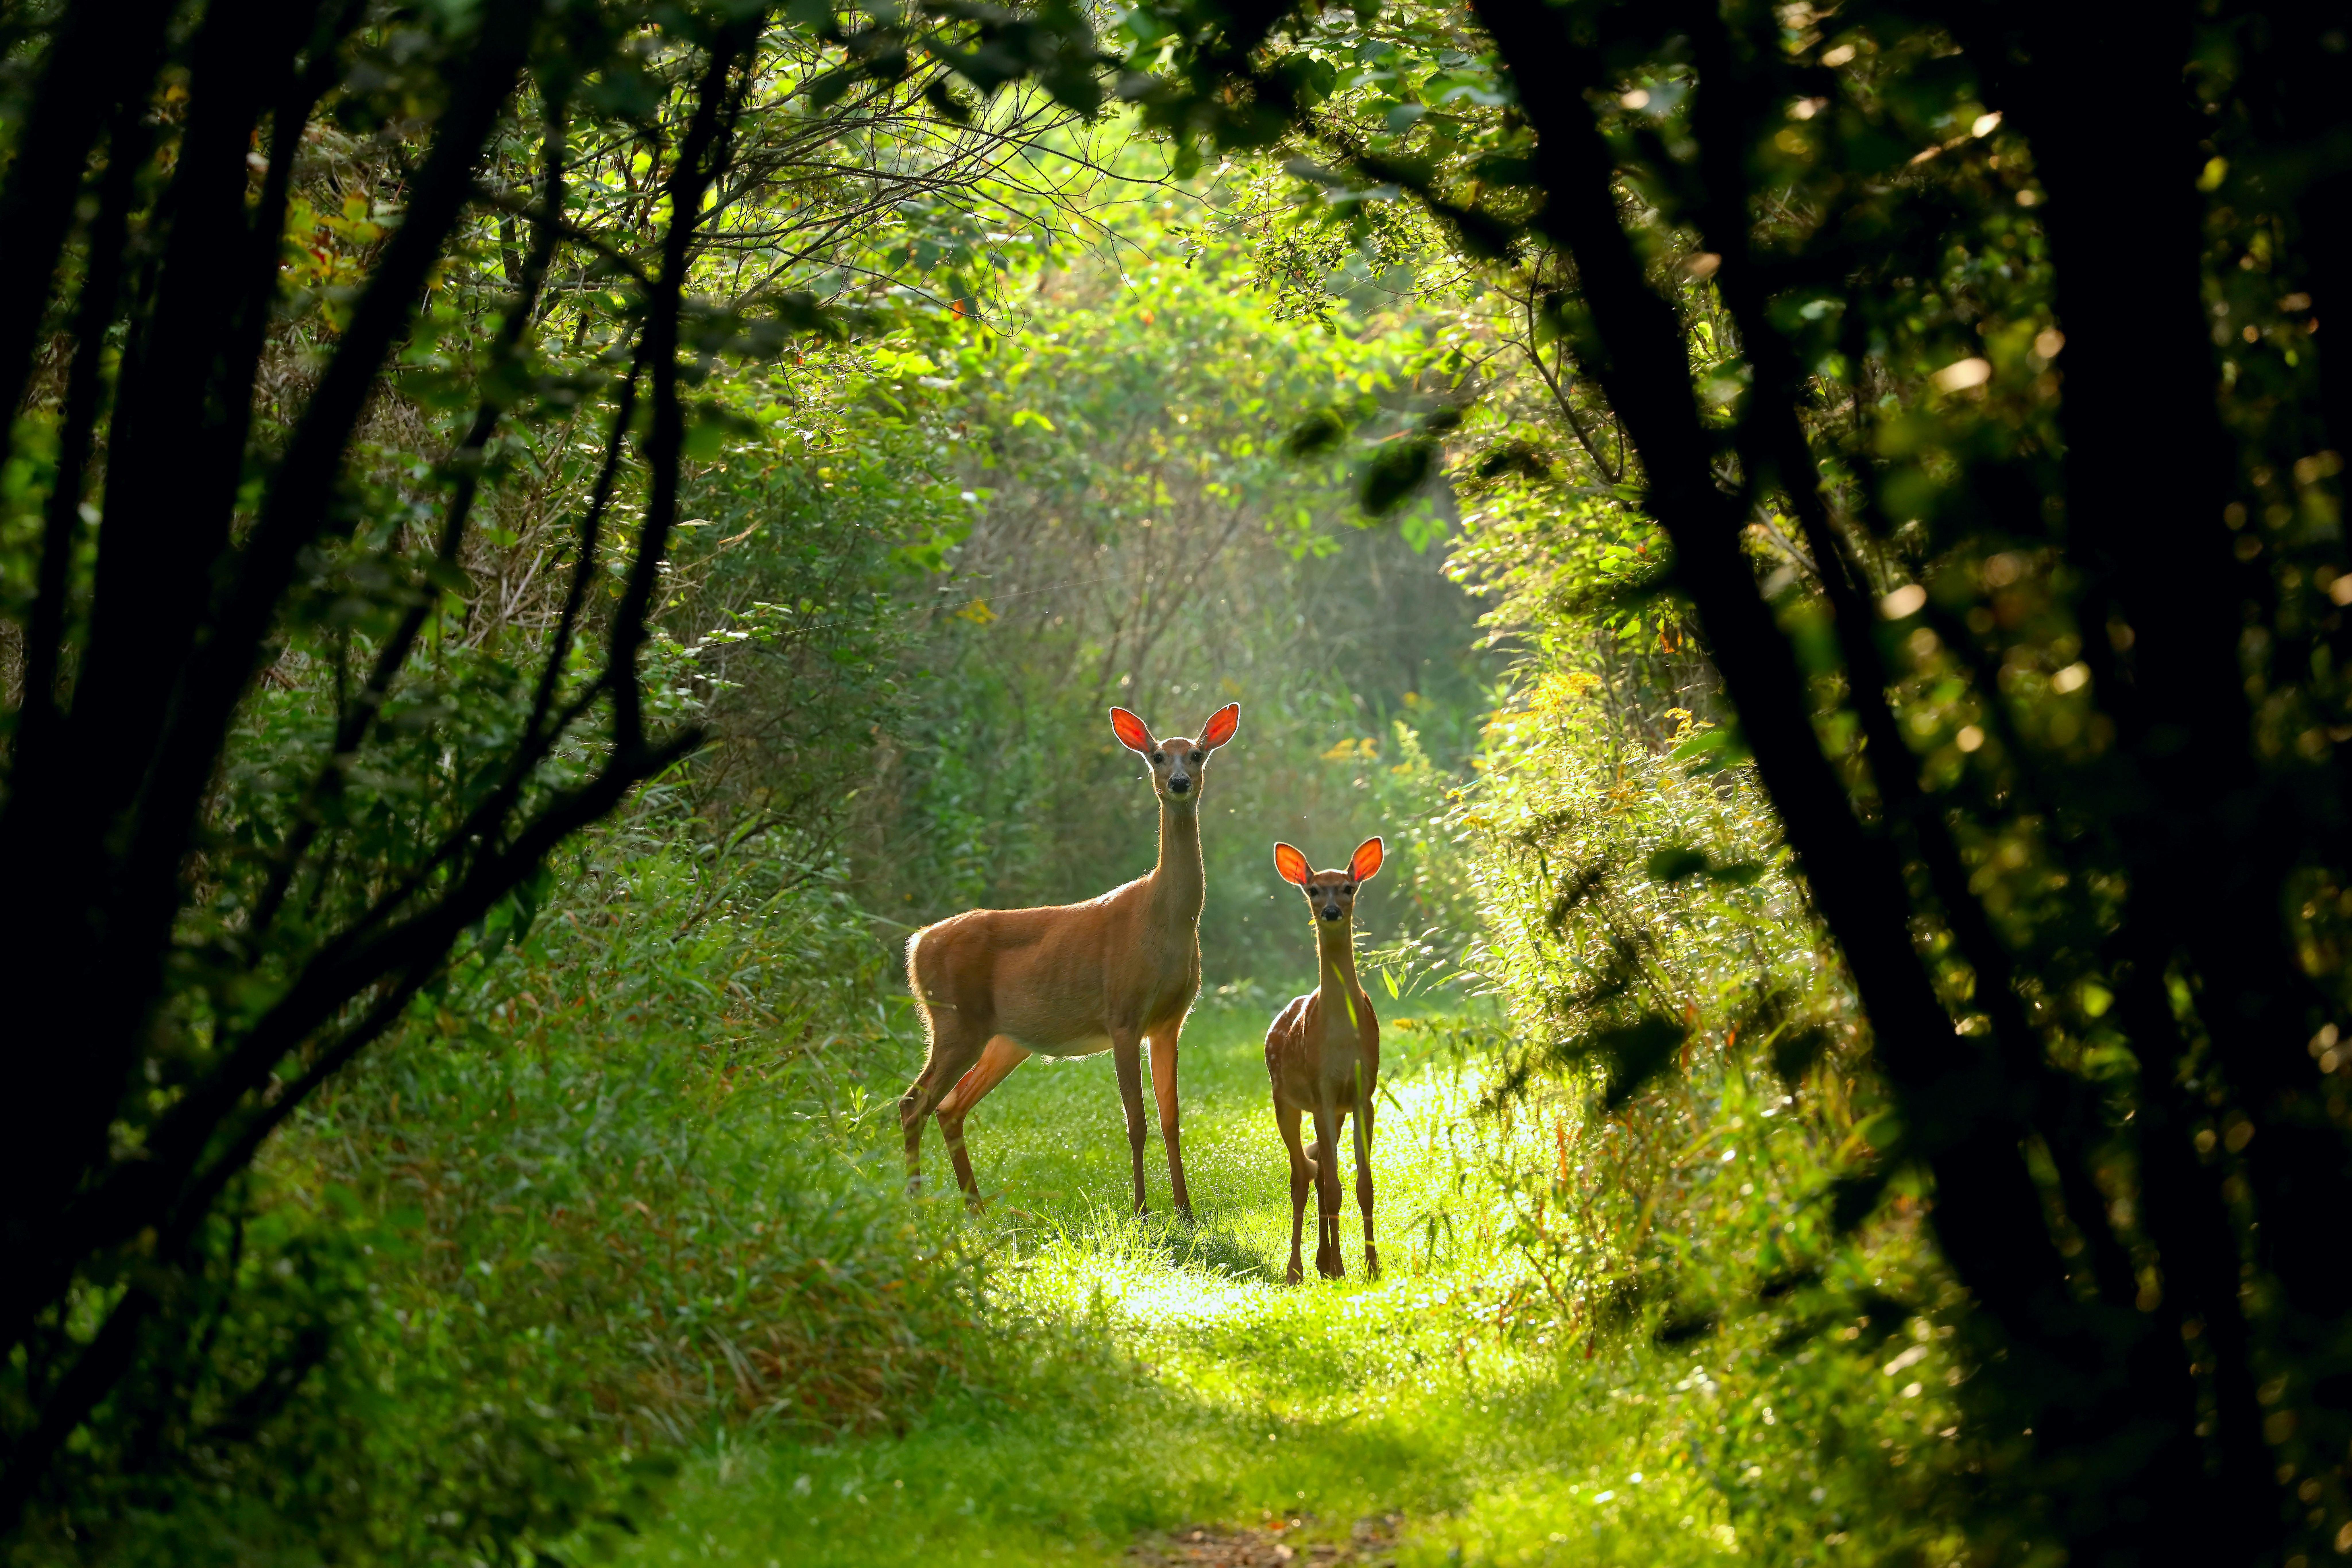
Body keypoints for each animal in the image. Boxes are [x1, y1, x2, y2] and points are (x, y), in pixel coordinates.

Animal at [899, 702, 1241, 1221]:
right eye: (1158, 756)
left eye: (1198, 754)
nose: (1180, 782)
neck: (1163, 922)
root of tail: (917, 944)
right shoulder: (1123, 1013)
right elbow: (1136, 1123)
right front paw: (1142, 1211)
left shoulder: (1169, 1021)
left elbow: (1171, 1119)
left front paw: (1186, 1212)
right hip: (955, 1021)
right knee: (912, 1103)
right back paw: (918, 1209)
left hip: (1004, 1039)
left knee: (949, 1106)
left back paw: (976, 1211)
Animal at [1265, 836, 1384, 1284]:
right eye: (1314, 889)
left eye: (1348, 887)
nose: (1331, 911)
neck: (1341, 1037)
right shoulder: (1322, 1090)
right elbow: (1334, 1185)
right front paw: (1342, 1266)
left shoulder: (1362, 1094)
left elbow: (1364, 1186)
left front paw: (1371, 1267)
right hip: (1284, 1099)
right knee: (1302, 1173)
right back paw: (1298, 1268)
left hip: (1333, 1109)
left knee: (1315, 1170)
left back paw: (1322, 1262)